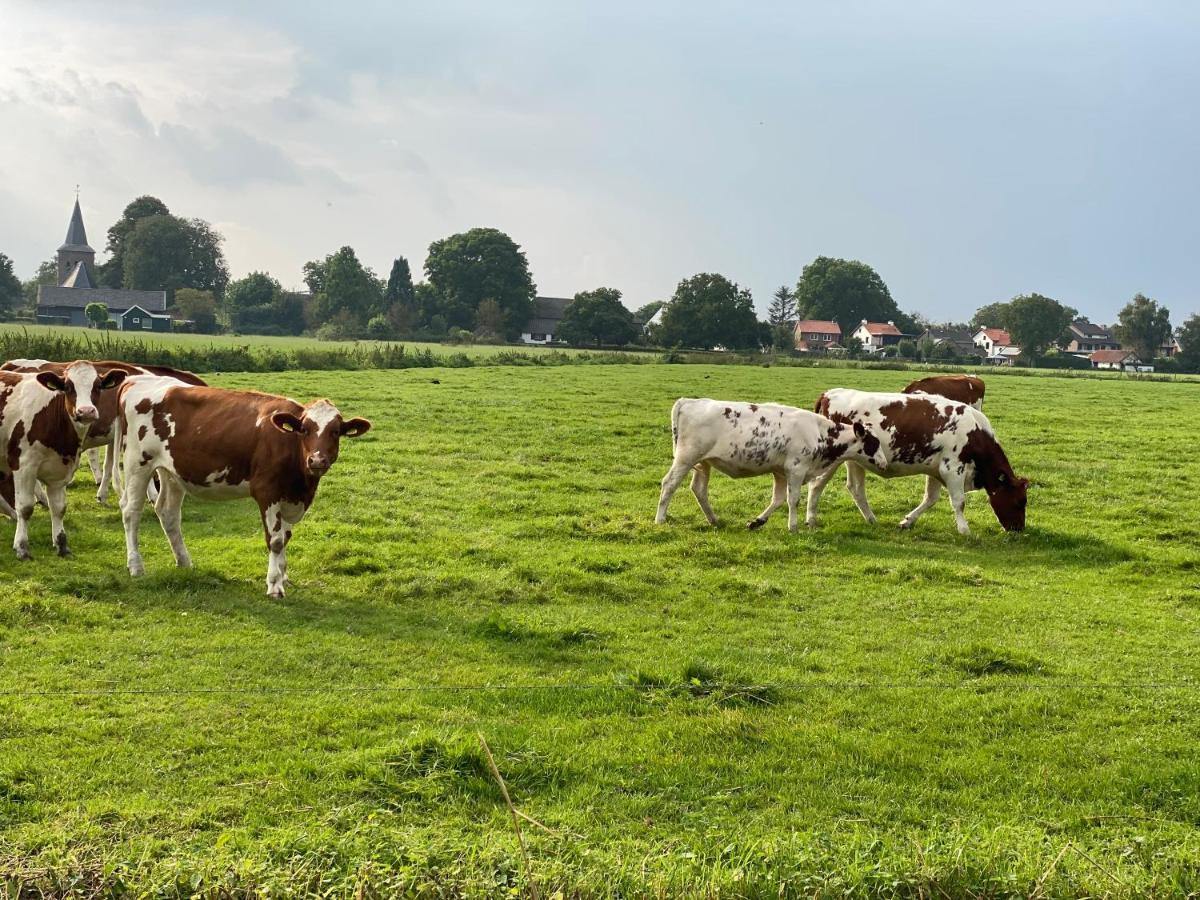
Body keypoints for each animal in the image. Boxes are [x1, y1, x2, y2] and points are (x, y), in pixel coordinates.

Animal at [0, 360, 128, 556]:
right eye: (68, 387)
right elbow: (25, 507)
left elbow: (59, 508)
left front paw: (61, 545)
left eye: (97, 386)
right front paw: (22, 547)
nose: (86, 411)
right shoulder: (23, 466)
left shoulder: (61, 468)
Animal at [117, 381, 372, 600]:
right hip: (138, 463)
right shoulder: (267, 492)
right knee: (131, 512)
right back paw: (136, 566)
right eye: (304, 430)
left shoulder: (290, 497)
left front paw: (283, 577)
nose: (317, 460)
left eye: (335, 431)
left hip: (172, 472)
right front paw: (274, 585)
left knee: (168, 513)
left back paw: (184, 562)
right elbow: (276, 540)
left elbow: (286, 537)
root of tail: (135, 381)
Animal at [652, 398, 888, 532]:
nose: (885, 463)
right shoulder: (796, 469)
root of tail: (689, 401)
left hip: (703, 463)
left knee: (699, 489)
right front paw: (793, 527)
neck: (819, 433)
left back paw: (713, 520)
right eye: (873, 443)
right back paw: (660, 518)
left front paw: (757, 521)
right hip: (685, 458)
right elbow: (793, 500)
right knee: (669, 484)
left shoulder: (781, 472)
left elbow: (778, 499)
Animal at [801, 388, 1027, 535]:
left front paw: (907, 521)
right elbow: (959, 501)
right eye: (1019, 502)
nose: (1019, 530)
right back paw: (811, 519)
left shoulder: (936, 469)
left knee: (856, 488)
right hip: (833, 459)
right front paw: (964, 530)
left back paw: (871, 519)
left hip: (856, 460)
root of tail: (829, 394)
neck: (975, 432)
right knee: (817, 484)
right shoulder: (952, 468)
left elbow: (931, 498)